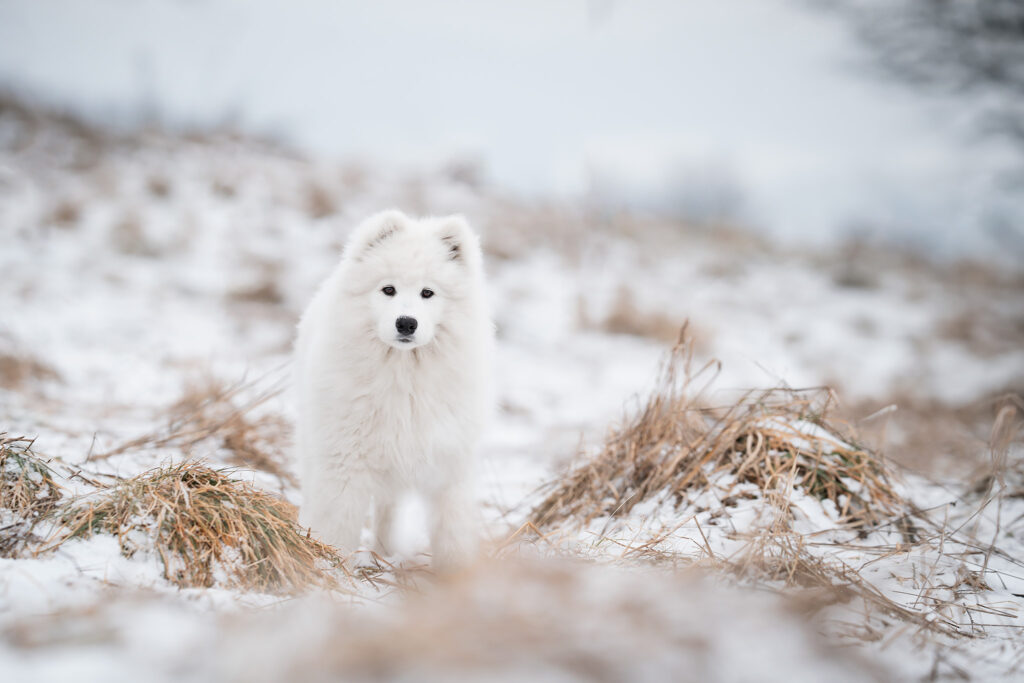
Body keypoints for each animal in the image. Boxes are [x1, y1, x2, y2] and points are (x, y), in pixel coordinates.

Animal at [292, 210, 491, 569]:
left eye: (428, 293)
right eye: (388, 289)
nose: (406, 323)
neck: (404, 378)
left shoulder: (450, 466)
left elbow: (452, 533)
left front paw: (457, 574)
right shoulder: (343, 466)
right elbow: (338, 529)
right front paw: (332, 569)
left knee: (388, 510)